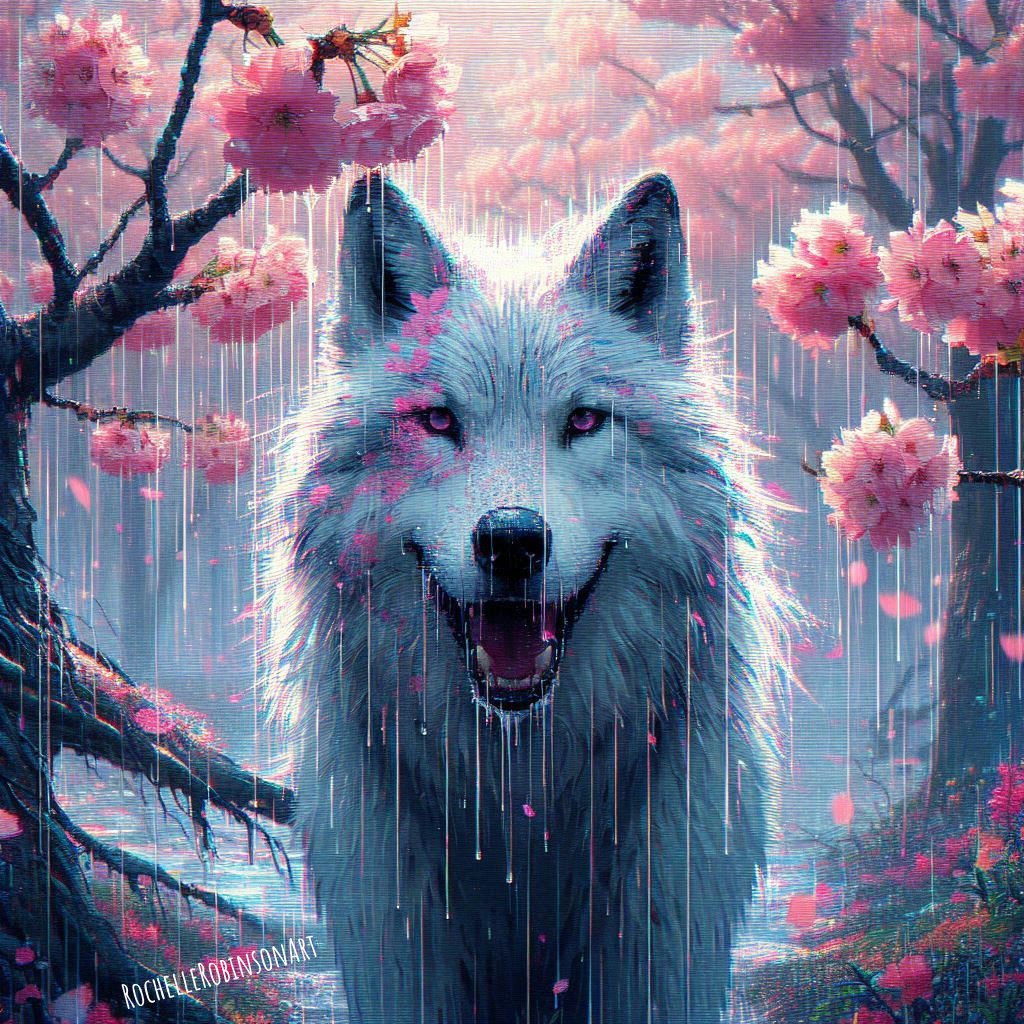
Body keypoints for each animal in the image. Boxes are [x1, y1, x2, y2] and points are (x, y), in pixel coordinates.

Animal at [265, 171, 788, 1024]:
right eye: (438, 420)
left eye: (584, 419)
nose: (510, 539)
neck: (518, 813)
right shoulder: (398, 944)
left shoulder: (659, 939)